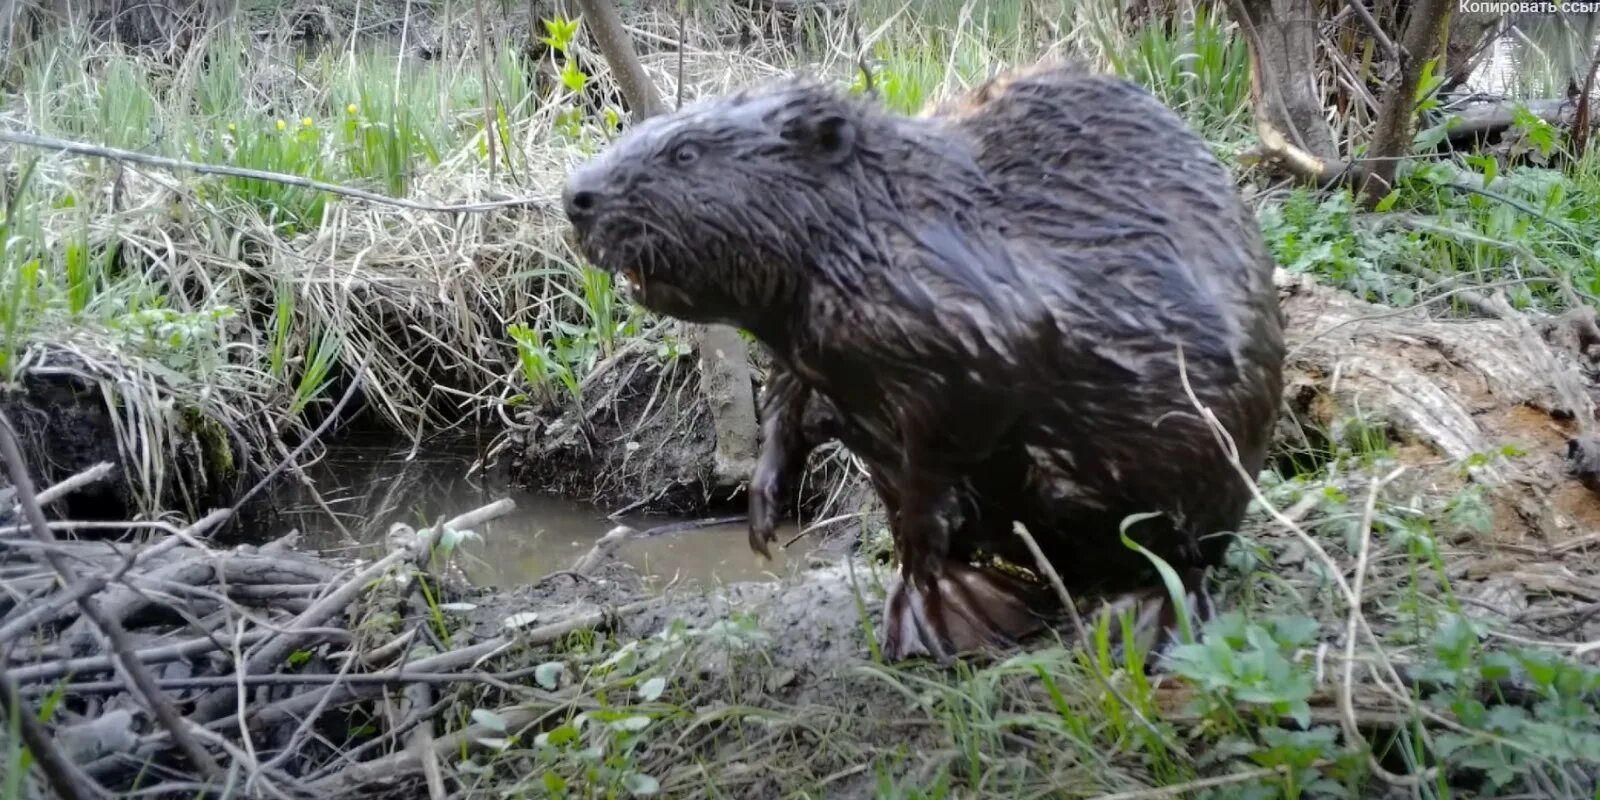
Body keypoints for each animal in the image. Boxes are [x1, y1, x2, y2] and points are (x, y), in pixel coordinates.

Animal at [563, 62, 1286, 662]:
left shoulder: (975, 328)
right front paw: (763, 516)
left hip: (1206, 478)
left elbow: (952, 439)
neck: (882, 220)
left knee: (1187, 564)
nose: (575, 196)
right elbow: (789, 404)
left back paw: (1132, 620)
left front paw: (927, 579)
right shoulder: (807, 345)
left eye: (685, 153)